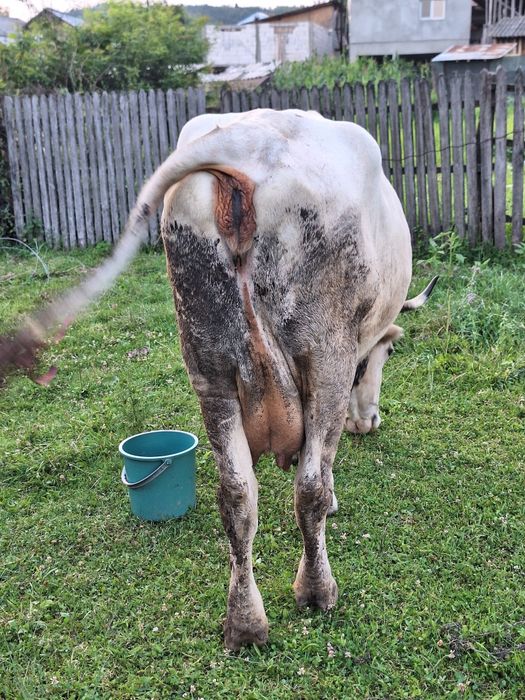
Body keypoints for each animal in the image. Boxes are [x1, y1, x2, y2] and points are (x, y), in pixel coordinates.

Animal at [0, 109, 437, 650]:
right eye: (388, 352)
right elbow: (321, 470)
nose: (369, 422)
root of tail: (245, 138)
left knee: (236, 496)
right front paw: (336, 496)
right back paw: (316, 591)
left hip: (209, 369)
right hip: (324, 359)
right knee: (307, 490)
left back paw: (245, 622)